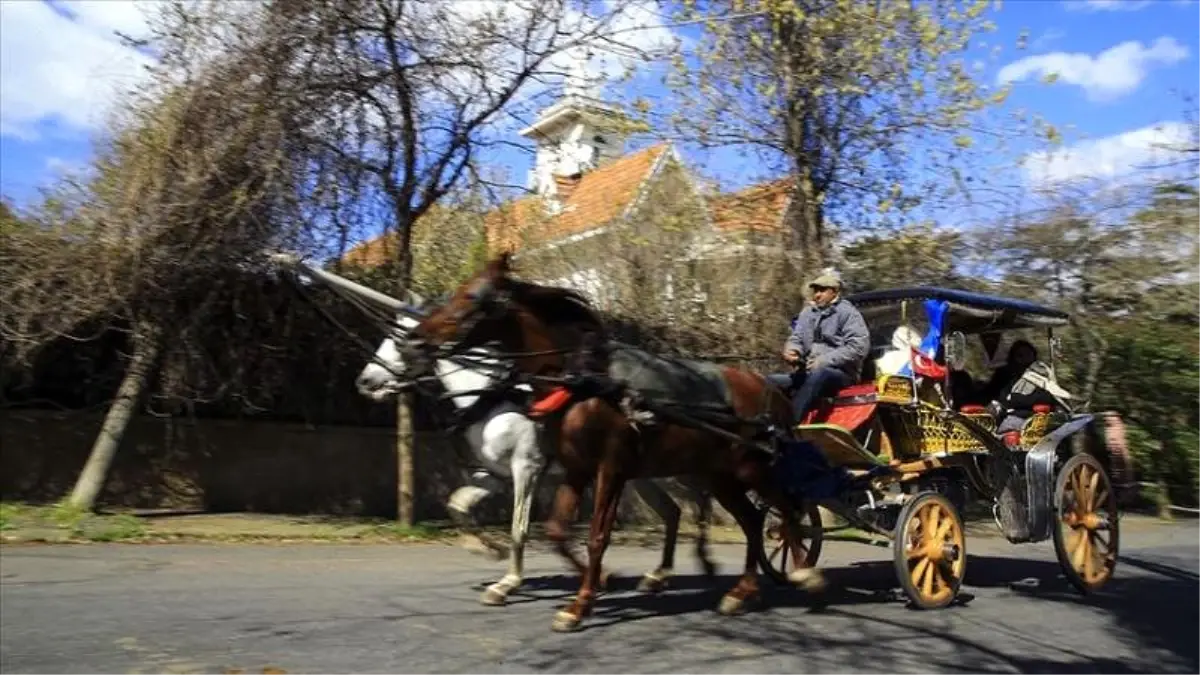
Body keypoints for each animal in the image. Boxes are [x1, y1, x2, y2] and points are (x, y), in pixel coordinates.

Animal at [350, 309, 715, 605]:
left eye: (401, 339)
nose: (365, 380)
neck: (495, 395)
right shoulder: (495, 474)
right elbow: (459, 505)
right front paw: (486, 548)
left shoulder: (527, 467)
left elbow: (520, 527)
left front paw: (507, 583)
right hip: (639, 475)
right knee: (672, 512)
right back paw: (659, 575)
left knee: (699, 497)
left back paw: (702, 560)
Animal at [403, 253, 825, 629]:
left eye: (472, 296)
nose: (416, 339)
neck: (583, 383)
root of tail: (768, 389)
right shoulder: (574, 470)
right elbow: (556, 531)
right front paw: (591, 587)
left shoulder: (604, 469)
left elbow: (594, 536)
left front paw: (578, 604)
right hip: (718, 475)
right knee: (750, 520)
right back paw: (740, 591)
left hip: (750, 467)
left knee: (786, 510)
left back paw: (802, 572)